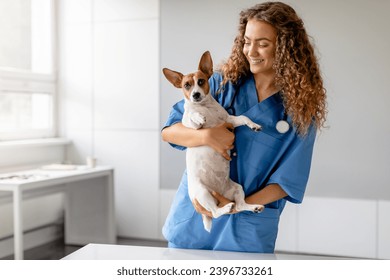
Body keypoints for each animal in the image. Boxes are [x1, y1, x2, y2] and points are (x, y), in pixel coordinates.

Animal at [161, 50, 266, 232]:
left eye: (201, 81)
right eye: (186, 85)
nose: (195, 94)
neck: (205, 107)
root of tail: (220, 194)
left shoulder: (229, 120)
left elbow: (244, 118)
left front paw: (254, 125)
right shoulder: (193, 128)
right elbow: (192, 116)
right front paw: (198, 116)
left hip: (237, 188)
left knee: (239, 206)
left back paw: (253, 207)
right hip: (203, 193)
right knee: (216, 213)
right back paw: (226, 207)